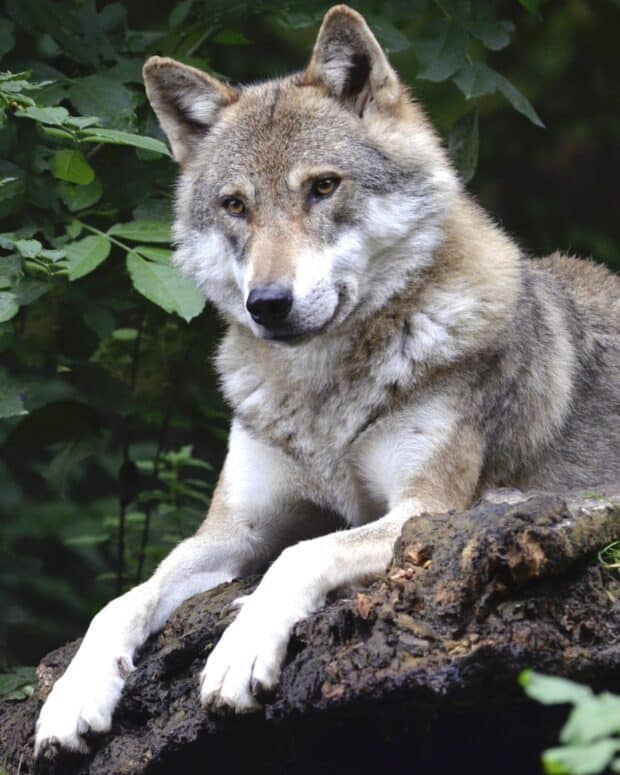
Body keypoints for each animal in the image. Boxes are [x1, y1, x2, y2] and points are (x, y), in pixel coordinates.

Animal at [36, 4, 616, 756]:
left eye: (323, 186)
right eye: (235, 206)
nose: (267, 303)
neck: (323, 394)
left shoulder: (426, 512)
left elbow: (302, 553)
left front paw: (239, 649)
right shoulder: (233, 529)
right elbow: (123, 599)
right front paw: (74, 695)